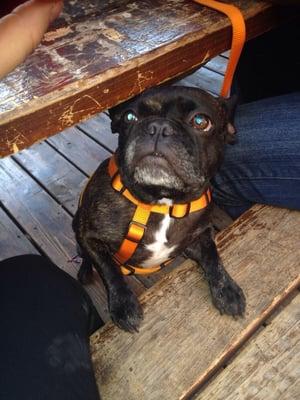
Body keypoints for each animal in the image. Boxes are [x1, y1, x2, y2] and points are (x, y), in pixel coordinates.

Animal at [73, 86, 246, 332]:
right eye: (129, 117)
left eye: (201, 121)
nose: (158, 128)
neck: (162, 202)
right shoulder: (88, 236)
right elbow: (109, 270)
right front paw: (124, 304)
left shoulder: (199, 238)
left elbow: (213, 256)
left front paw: (227, 289)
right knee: (86, 257)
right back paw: (85, 271)